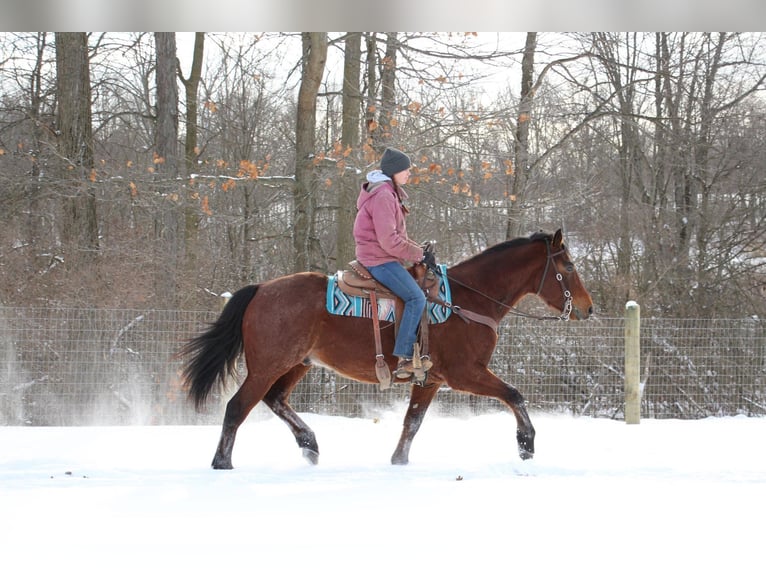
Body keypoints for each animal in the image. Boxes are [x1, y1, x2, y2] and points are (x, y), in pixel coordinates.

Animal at [178, 227, 592, 470]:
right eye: (569, 266)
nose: (588, 308)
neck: (466, 299)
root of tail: (261, 289)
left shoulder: (430, 380)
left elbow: (413, 422)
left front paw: (399, 461)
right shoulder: (465, 374)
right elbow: (514, 394)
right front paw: (526, 443)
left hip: (298, 363)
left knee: (275, 399)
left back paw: (309, 444)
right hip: (268, 365)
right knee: (238, 407)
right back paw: (222, 463)